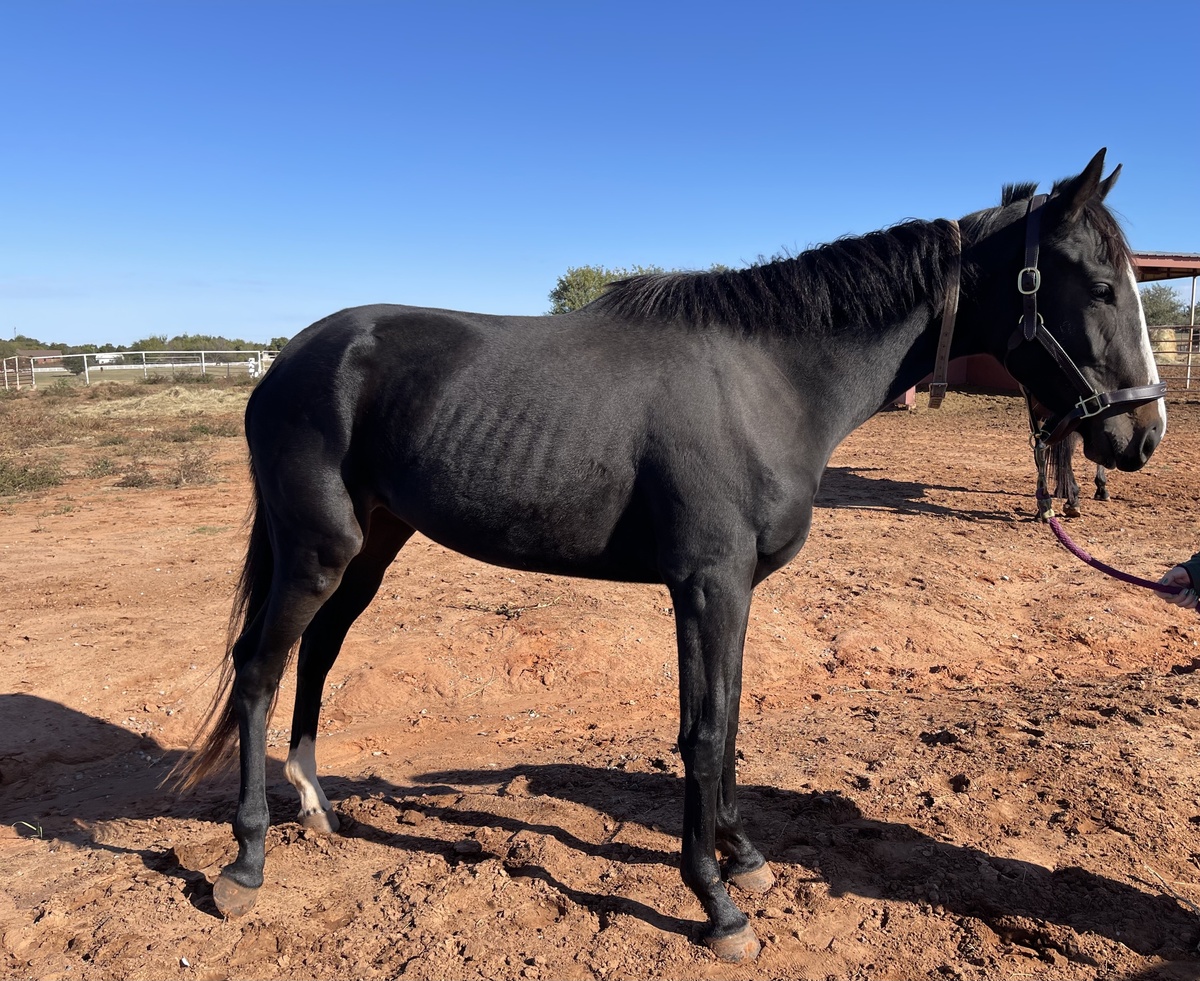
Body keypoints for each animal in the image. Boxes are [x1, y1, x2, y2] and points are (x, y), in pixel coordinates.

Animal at [176, 150, 1165, 962]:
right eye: (1099, 285)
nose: (1143, 436)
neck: (770, 381)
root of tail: (289, 359)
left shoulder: (736, 589)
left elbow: (730, 718)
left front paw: (745, 855)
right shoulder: (705, 584)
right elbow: (704, 729)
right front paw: (719, 903)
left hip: (369, 548)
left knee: (316, 652)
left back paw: (316, 807)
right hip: (316, 548)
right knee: (259, 669)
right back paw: (247, 860)